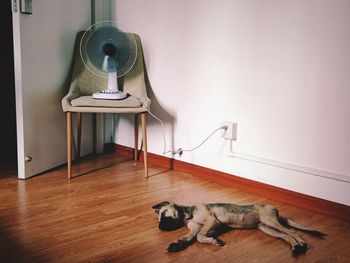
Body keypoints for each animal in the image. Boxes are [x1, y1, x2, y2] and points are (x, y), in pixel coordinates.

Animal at [153, 202, 326, 256]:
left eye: (164, 213)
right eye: (159, 218)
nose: (160, 227)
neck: (189, 214)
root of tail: (275, 209)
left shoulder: (212, 221)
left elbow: (200, 237)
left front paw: (214, 240)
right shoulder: (195, 229)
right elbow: (190, 238)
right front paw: (176, 245)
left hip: (269, 221)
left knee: (293, 232)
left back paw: (301, 244)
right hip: (266, 227)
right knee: (287, 236)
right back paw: (296, 247)